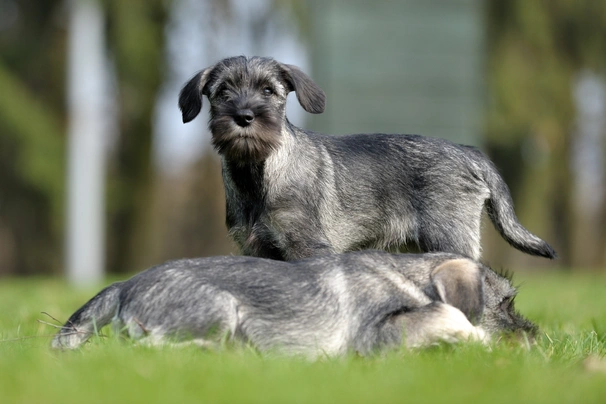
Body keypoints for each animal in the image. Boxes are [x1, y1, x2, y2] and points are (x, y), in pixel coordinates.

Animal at [178, 56, 560, 262]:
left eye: (269, 91)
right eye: (222, 92)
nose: (244, 116)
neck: (259, 176)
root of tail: (469, 153)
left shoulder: (307, 247)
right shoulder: (256, 249)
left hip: (450, 240)